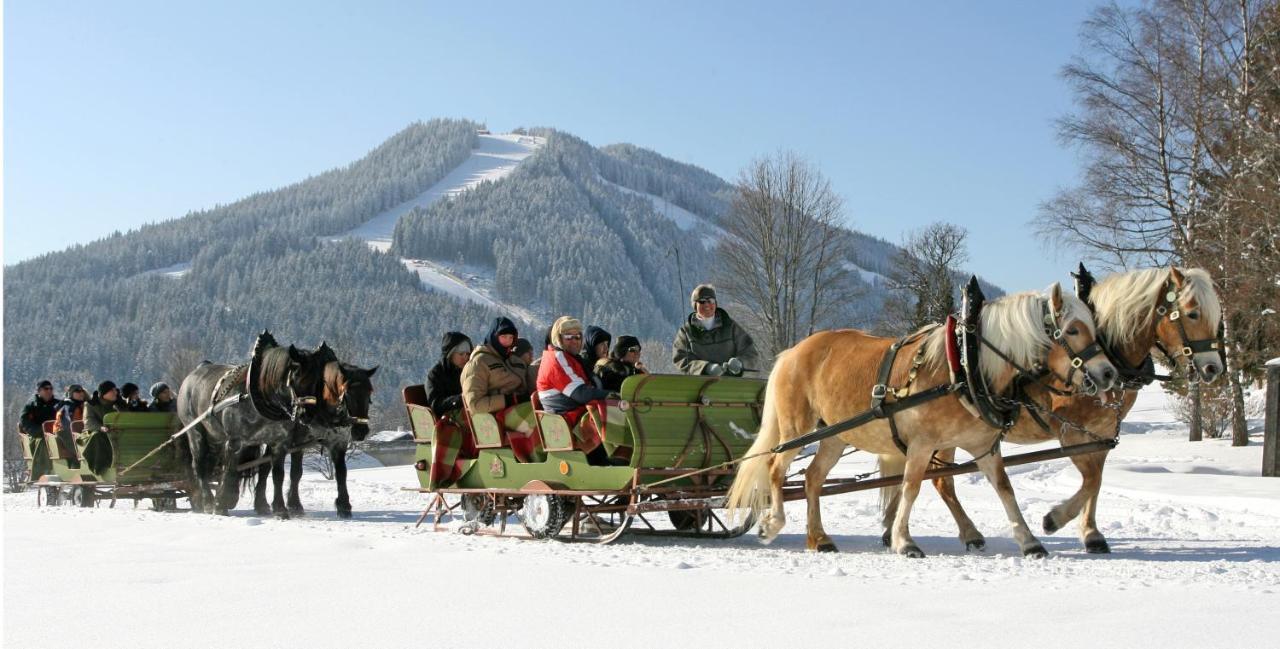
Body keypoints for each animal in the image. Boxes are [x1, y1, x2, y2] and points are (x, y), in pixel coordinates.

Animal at [727, 284, 1116, 558]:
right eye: (1073, 330)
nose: (1108, 373)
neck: (965, 367)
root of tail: (792, 352)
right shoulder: (921, 444)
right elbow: (911, 487)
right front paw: (904, 541)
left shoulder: (983, 446)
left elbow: (1005, 488)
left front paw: (1030, 540)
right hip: (796, 427)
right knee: (776, 467)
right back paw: (773, 524)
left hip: (836, 435)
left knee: (812, 478)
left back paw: (819, 538)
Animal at [906, 266, 1223, 555]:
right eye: (1193, 313)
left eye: (1217, 316)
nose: (1213, 368)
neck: (1108, 351)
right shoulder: (1071, 434)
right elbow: (1091, 480)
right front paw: (1054, 520)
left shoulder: (1100, 436)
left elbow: (1096, 482)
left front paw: (1091, 534)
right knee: (941, 480)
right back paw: (968, 532)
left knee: (941, 480)